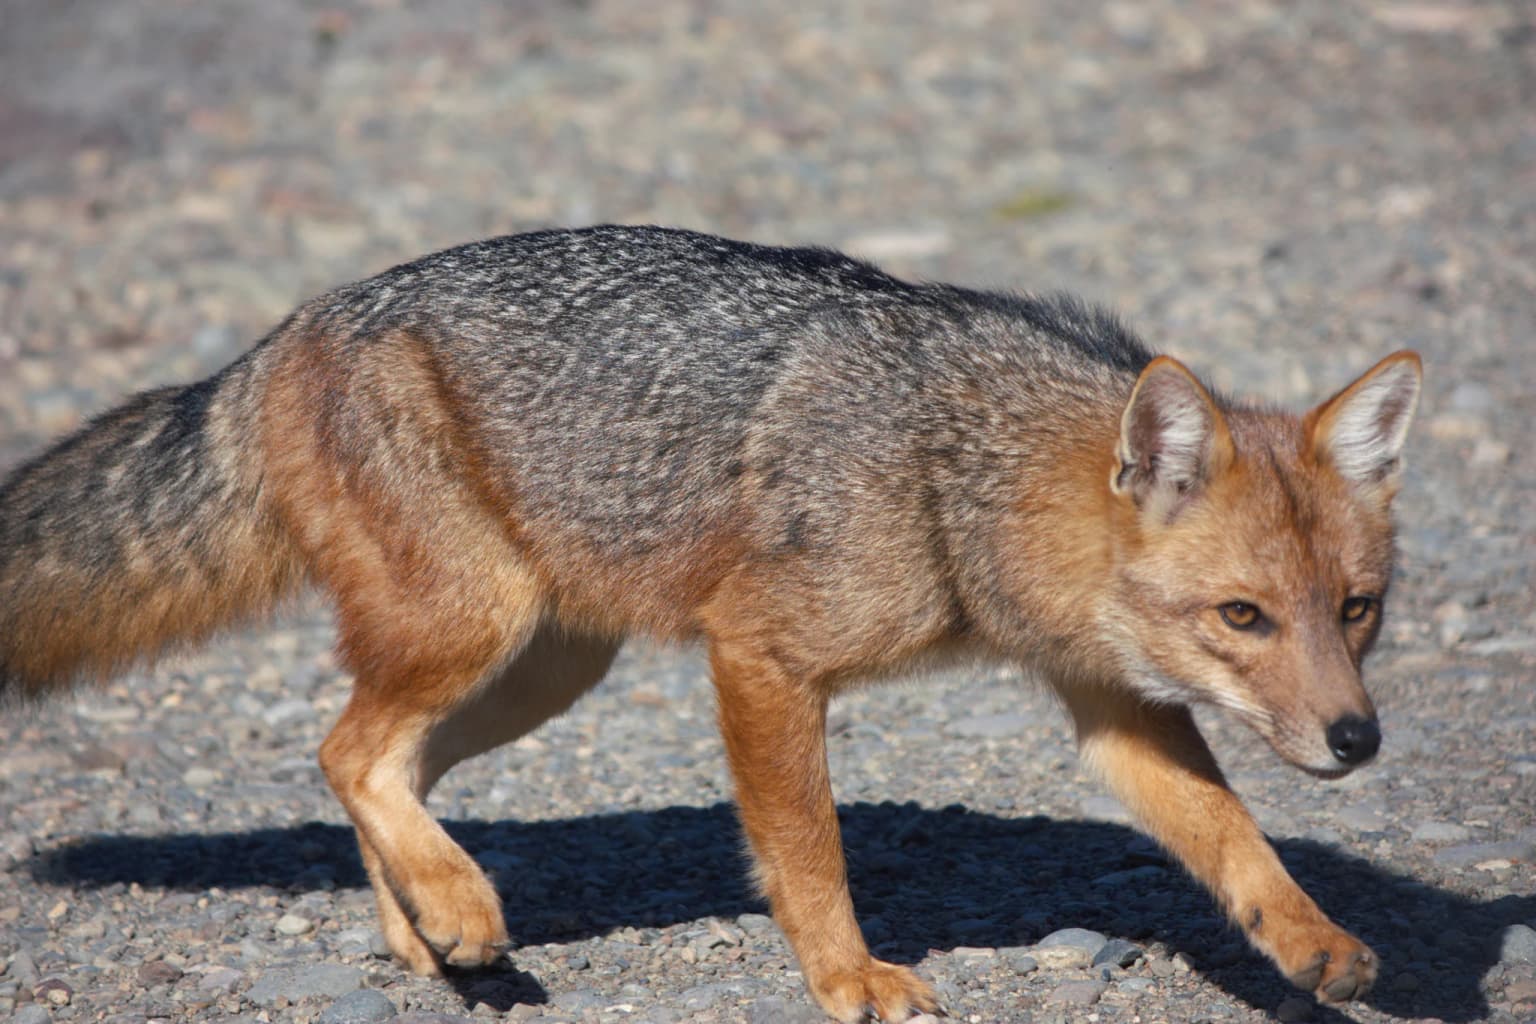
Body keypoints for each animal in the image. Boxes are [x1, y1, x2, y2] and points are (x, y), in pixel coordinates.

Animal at [0, 225, 1421, 1021]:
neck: (951, 467)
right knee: (345, 750)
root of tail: (284, 331)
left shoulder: (1114, 708)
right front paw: (848, 981)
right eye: (1243, 614)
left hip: (542, 668)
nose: (1359, 740)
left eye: (1357, 610)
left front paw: (1313, 945)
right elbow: (809, 854)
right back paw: (456, 906)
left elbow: (1235, 838)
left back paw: (432, 928)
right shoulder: (763, 659)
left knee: (379, 763)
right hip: (480, 627)